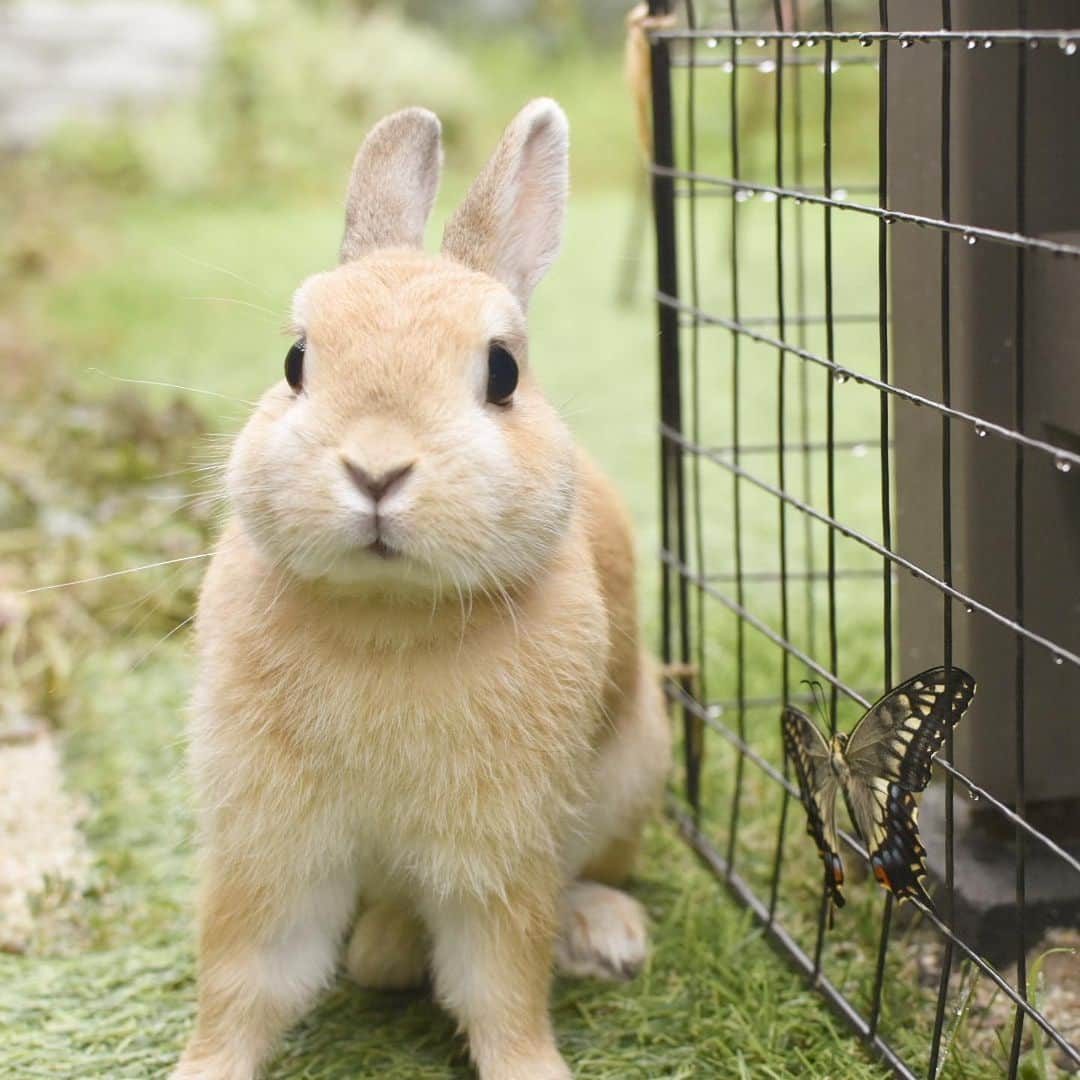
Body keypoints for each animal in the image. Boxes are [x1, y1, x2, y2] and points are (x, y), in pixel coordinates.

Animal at [172, 99, 671, 1080]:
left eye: (502, 373)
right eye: (295, 363)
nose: (375, 469)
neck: (387, 620)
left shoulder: (500, 853)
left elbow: (502, 986)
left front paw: (535, 1068)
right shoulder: (271, 843)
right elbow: (245, 981)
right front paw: (199, 1068)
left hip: (633, 774)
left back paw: (603, 933)